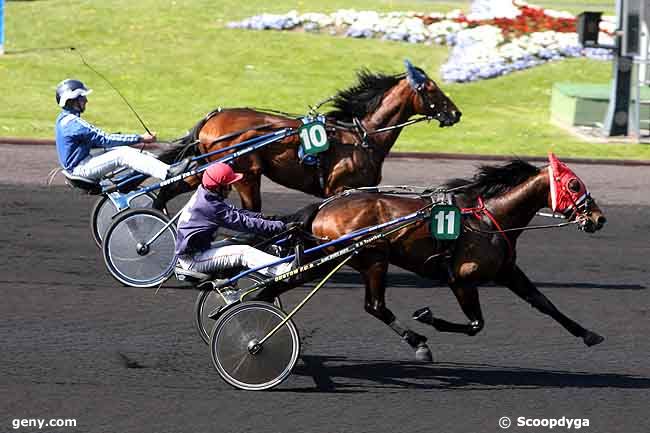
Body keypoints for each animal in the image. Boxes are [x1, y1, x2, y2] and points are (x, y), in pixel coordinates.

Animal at [156, 62, 460, 211]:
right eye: (431, 89)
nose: (456, 114)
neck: (362, 137)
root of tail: (212, 118)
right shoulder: (339, 188)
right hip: (244, 173)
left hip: (213, 167)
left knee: (175, 186)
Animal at [260, 155, 604, 362]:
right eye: (574, 184)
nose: (598, 219)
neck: (489, 218)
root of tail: (323, 207)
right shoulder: (462, 279)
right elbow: (476, 324)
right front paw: (426, 317)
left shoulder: (507, 271)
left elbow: (544, 303)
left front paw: (588, 334)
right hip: (369, 258)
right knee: (375, 306)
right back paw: (418, 343)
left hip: (335, 259)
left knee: (279, 286)